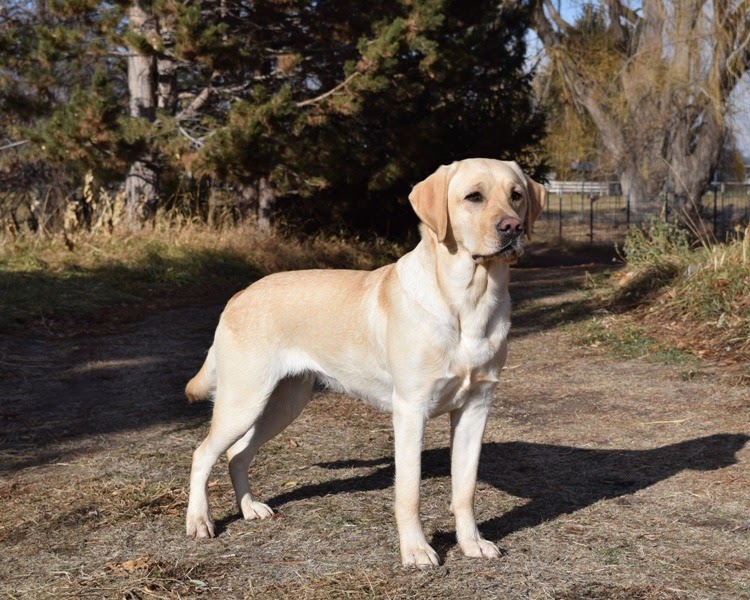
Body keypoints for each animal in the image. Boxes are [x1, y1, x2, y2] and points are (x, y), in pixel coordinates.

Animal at [185, 157, 548, 564]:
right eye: (474, 196)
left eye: (516, 196)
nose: (513, 227)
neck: (469, 300)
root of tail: (238, 295)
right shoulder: (411, 410)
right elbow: (409, 492)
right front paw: (416, 550)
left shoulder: (476, 407)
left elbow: (465, 490)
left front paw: (472, 543)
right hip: (243, 401)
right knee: (202, 454)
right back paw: (199, 522)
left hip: (282, 403)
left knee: (237, 454)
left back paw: (249, 508)